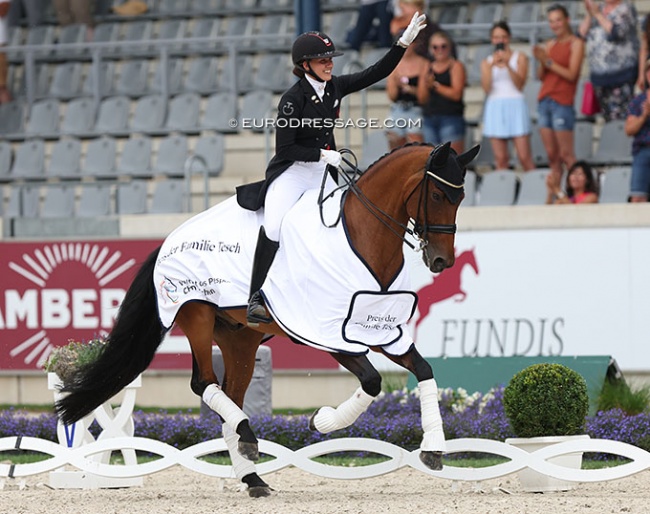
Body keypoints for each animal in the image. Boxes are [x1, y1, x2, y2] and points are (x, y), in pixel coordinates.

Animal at [55, 141, 478, 496]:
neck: (362, 236)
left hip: (239, 339)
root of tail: (167, 241)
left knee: (230, 394)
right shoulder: (325, 333)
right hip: (197, 315)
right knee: (203, 383)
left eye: (460, 197)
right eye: (437, 194)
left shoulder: (381, 330)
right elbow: (373, 382)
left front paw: (434, 449)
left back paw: (251, 474)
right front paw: (322, 421)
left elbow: (424, 370)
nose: (442, 261)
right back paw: (248, 441)